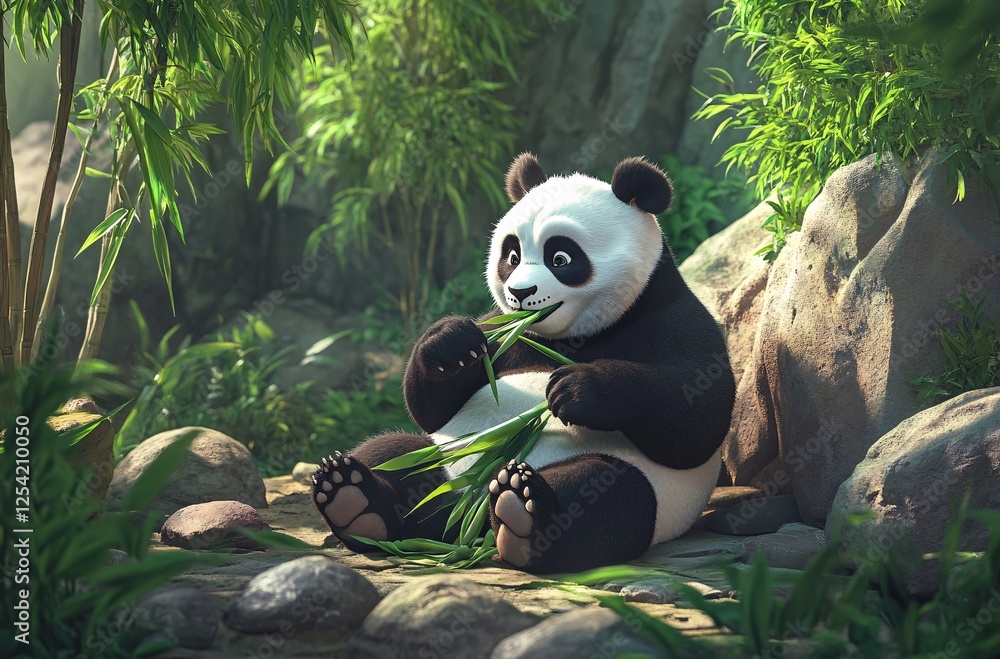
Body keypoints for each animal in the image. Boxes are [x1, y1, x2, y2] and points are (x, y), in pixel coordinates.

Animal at [312, 153, 735, 573]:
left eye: (561, 258)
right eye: (511, 256)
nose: (520, 292)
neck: (567, 337)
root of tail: (469, 522)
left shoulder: (673, 317)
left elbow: (696, 417)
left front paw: (575, 389)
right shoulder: (501, 332)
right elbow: (432, 408)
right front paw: (451, 342)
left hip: (635, 485)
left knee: (606, 493)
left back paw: (520, 514)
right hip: (445, 456)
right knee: (394, 455)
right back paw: (352, 498)